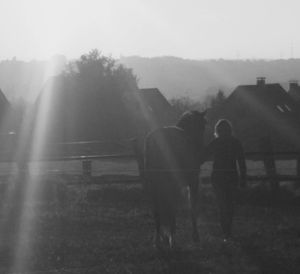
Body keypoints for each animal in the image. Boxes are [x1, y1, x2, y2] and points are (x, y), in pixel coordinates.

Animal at [144, 109, 206, 248]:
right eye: (203, 126)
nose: (201, 153)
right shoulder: (193, 182)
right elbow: (192, 206)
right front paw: (195, 236)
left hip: (154, 184)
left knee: (157, 210)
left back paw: (158, 240)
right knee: (170, 207)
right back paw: (171, 239)